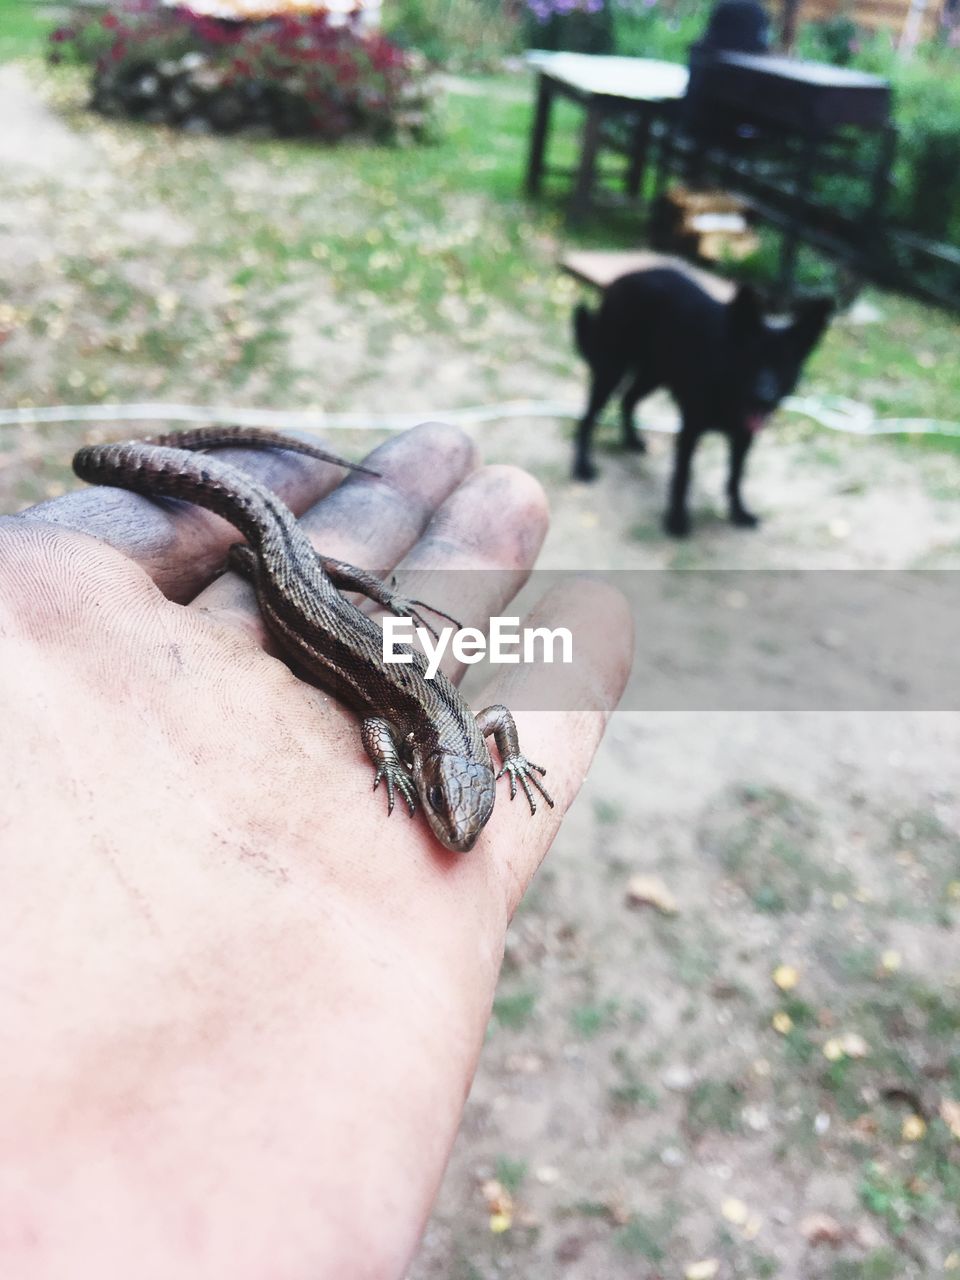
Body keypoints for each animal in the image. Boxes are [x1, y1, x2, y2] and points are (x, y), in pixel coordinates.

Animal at [570, 267, 834, 532]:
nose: (764, 399)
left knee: (628, 399)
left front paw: (738, 512)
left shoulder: (743, 437)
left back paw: (631, 440)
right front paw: (676, 520)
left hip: (654, 374)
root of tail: (624, 277)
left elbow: (735, 477)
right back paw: (582, 466)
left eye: (783, 365)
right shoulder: (690, 430)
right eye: (751, 359)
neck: (727, 386)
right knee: (588, 418)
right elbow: (683, 476)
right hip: (612, 370)